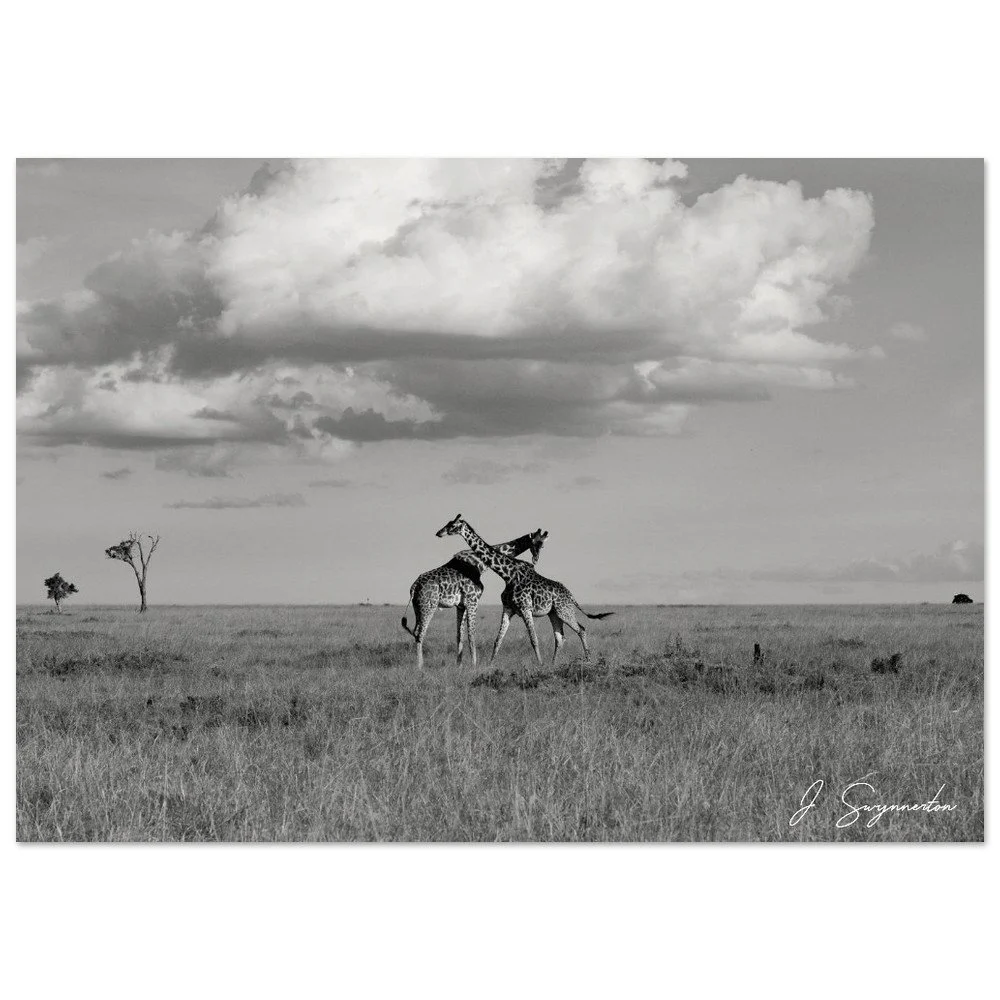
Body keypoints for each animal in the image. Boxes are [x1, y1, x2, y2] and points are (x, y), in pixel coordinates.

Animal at [401, 528, 547, 669]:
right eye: (536, 543)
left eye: (543, 544)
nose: (535, 560)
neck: (480, 564)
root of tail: (414, 586)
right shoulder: (473, 600)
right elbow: (472, 635)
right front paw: (474, 664)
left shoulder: (461, 605)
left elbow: (460, 636)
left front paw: (459, 665)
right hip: (428, 606)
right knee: (420, 634)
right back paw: (420, 666)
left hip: (418, 607)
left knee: (415, 632)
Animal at [435, 514, 613, 666]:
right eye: (448, 523)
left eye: (453, 525)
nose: (439, 532)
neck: (507, 575)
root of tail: (572, 596)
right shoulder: (508, 608)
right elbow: (498, 640)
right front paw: (490, 665)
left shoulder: (526, 608)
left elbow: (534, 639)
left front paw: (540, 664)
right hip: (554, 614)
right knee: (560, 637)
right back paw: (553, 664)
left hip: (564, 611)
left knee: (581, 630)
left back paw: (588, 660)